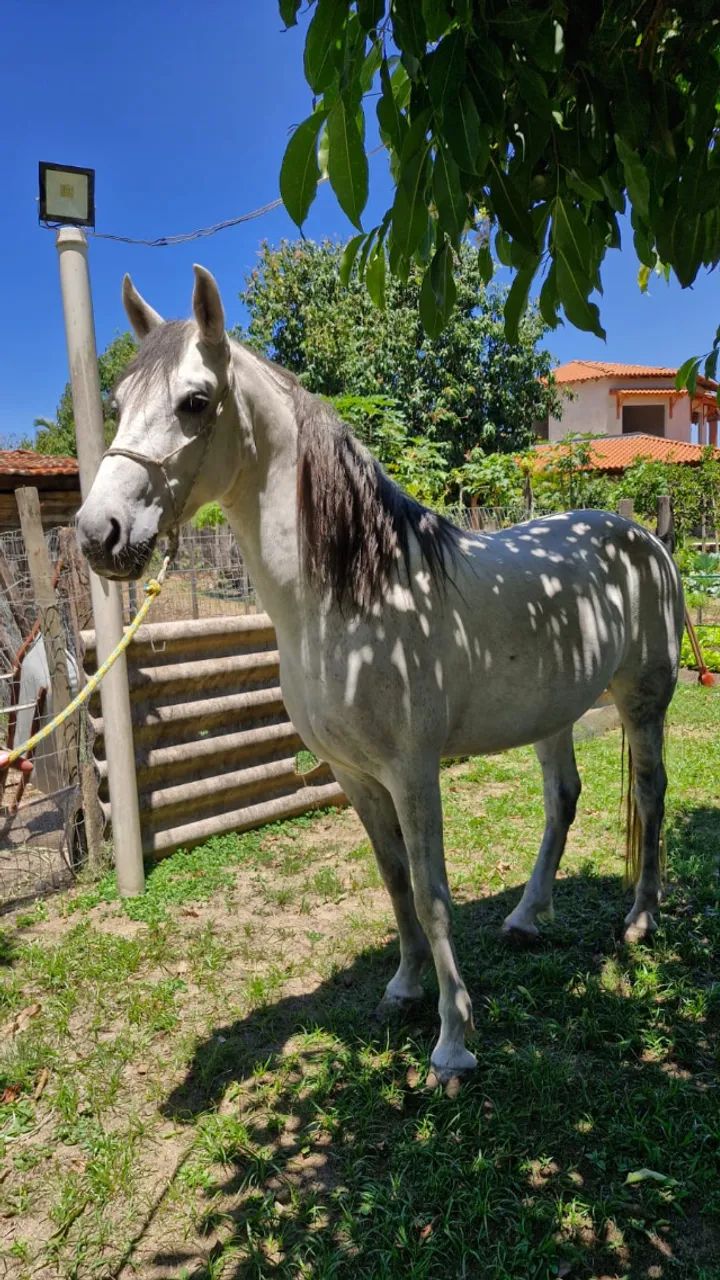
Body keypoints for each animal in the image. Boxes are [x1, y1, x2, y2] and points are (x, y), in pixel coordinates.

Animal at [76, 265, 684, 1082]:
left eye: (195, 401)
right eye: (116, 403)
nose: (98, 534)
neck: (352, 598)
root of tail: (644, 537)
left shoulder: (412, 772)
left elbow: (431, 893)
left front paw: (453, 1042)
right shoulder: (355, 775)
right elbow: (395, 882)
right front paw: (404, 986)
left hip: (643, 704)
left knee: (650, 797)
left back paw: (640, 920)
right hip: (551, 714)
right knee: (563, 800)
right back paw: (526, 917)